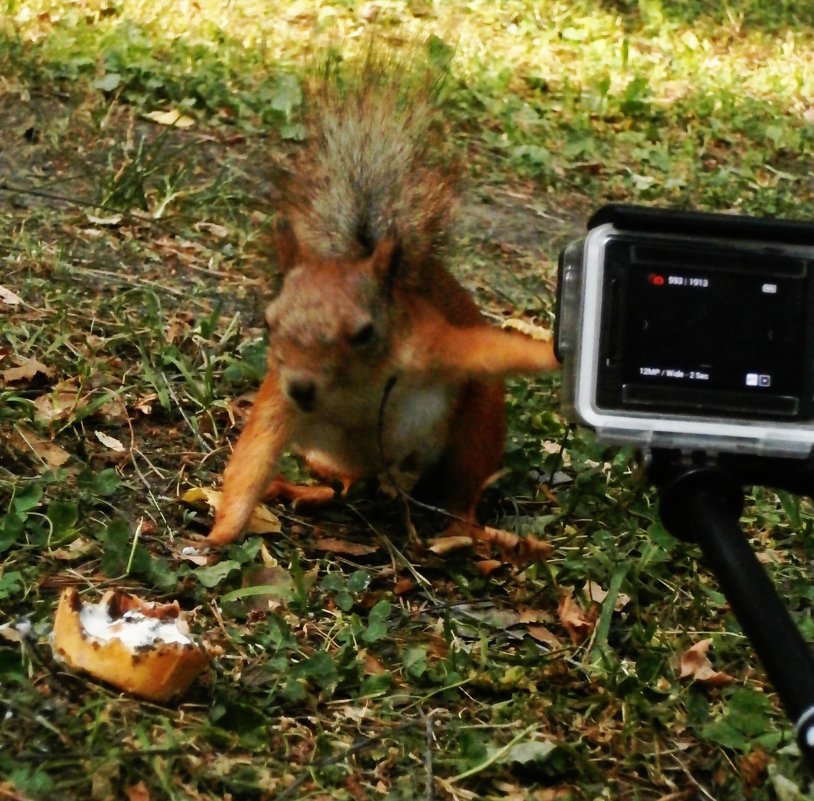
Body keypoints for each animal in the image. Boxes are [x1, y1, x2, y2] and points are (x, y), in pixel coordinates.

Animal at [206, 56, 560, 548]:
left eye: (364, 333)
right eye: (269, 322)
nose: (302, 387)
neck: (354, 391)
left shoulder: (431, 347)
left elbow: (495, 349)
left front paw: (561, 355)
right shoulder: (279, 400)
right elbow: (251, 461)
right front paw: (217, 536)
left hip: (476, 428)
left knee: (465, 487)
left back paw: (465, 531)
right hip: (327, 453)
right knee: (345, 482)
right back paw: (308, 491)